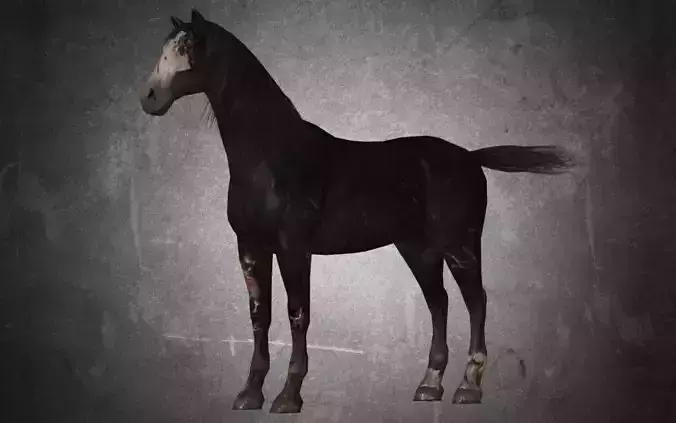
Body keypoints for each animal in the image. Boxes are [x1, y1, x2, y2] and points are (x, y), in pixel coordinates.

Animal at [138, 8, 577, 414]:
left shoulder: (294, 247)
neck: (272, 157)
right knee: (439, 303)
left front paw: (288, 396)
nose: (149, 98)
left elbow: (297, 313)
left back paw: (468, 388)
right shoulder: (250, 246)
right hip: (418, 249)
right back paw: (428, 385)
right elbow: (259, 315)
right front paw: (249, 394)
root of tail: (470, 157)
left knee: (476, 302)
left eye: (189, 48)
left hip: (460, 246)